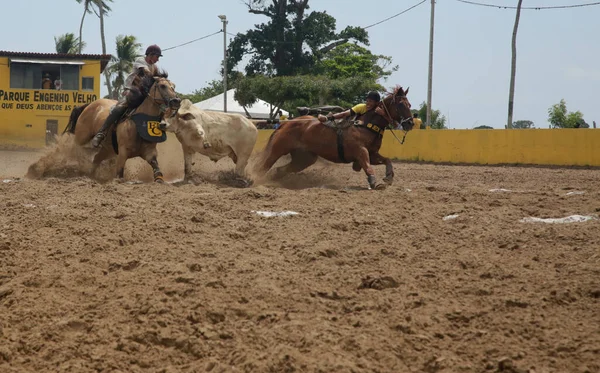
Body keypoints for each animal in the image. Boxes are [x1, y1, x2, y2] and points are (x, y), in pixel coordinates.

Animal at [255, 85, 414, 187]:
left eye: (410, 104)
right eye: (401, 104)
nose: (410, 123)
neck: (365, 125)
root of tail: (286, 124)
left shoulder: (373, 154)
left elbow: (387, 160)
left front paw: (388, 177)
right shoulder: (361, 152)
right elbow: (367, 166)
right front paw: (374, 181)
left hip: (304, 158)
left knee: (280, 170)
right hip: (277, 149)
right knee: (263, 166)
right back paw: (252, 180)